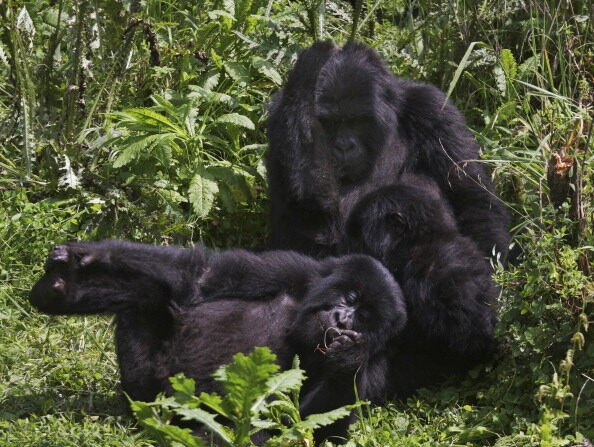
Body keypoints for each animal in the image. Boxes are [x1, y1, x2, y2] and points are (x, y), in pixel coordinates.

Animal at [28, 240, 408, 442]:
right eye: (351, 297)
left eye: (365, 318)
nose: (342, 319)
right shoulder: (295, 269)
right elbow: (201, 275)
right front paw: (87, 256)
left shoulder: (378, 370)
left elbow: (310, 425)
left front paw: (349, 355)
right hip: (149, 388)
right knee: (148, 294)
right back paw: (59, 286)